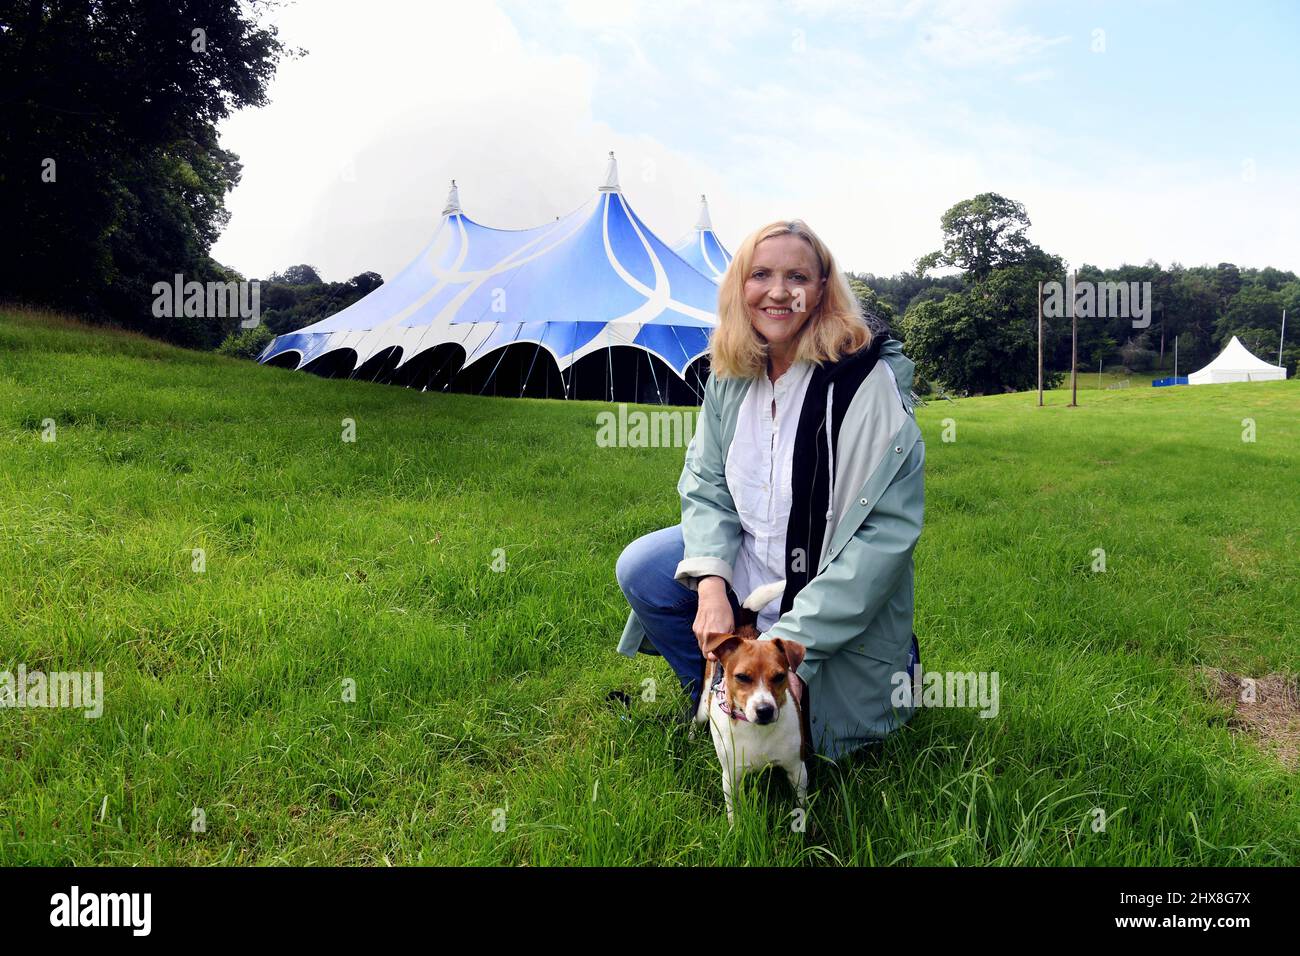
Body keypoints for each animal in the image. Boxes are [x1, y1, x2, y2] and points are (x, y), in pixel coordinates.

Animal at [696, 580, 806, 827]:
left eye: (779, 676)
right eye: (742, 677)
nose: (764, 710)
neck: (757, 731)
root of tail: (744, 628)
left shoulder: (797, 769)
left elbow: (802, 806)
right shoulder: (730, 776)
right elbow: (733, 810)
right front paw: (734, 829)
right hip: (703, 707)